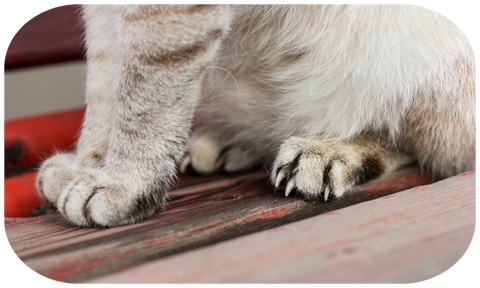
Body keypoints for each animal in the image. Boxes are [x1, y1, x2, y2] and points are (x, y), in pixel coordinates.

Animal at [33, 1, 476, 227]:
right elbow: (105, 91)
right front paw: (87, 167)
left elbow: (143, 100)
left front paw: (122, 184)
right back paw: (231, 145)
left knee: (428, 145)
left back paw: (329, 151)